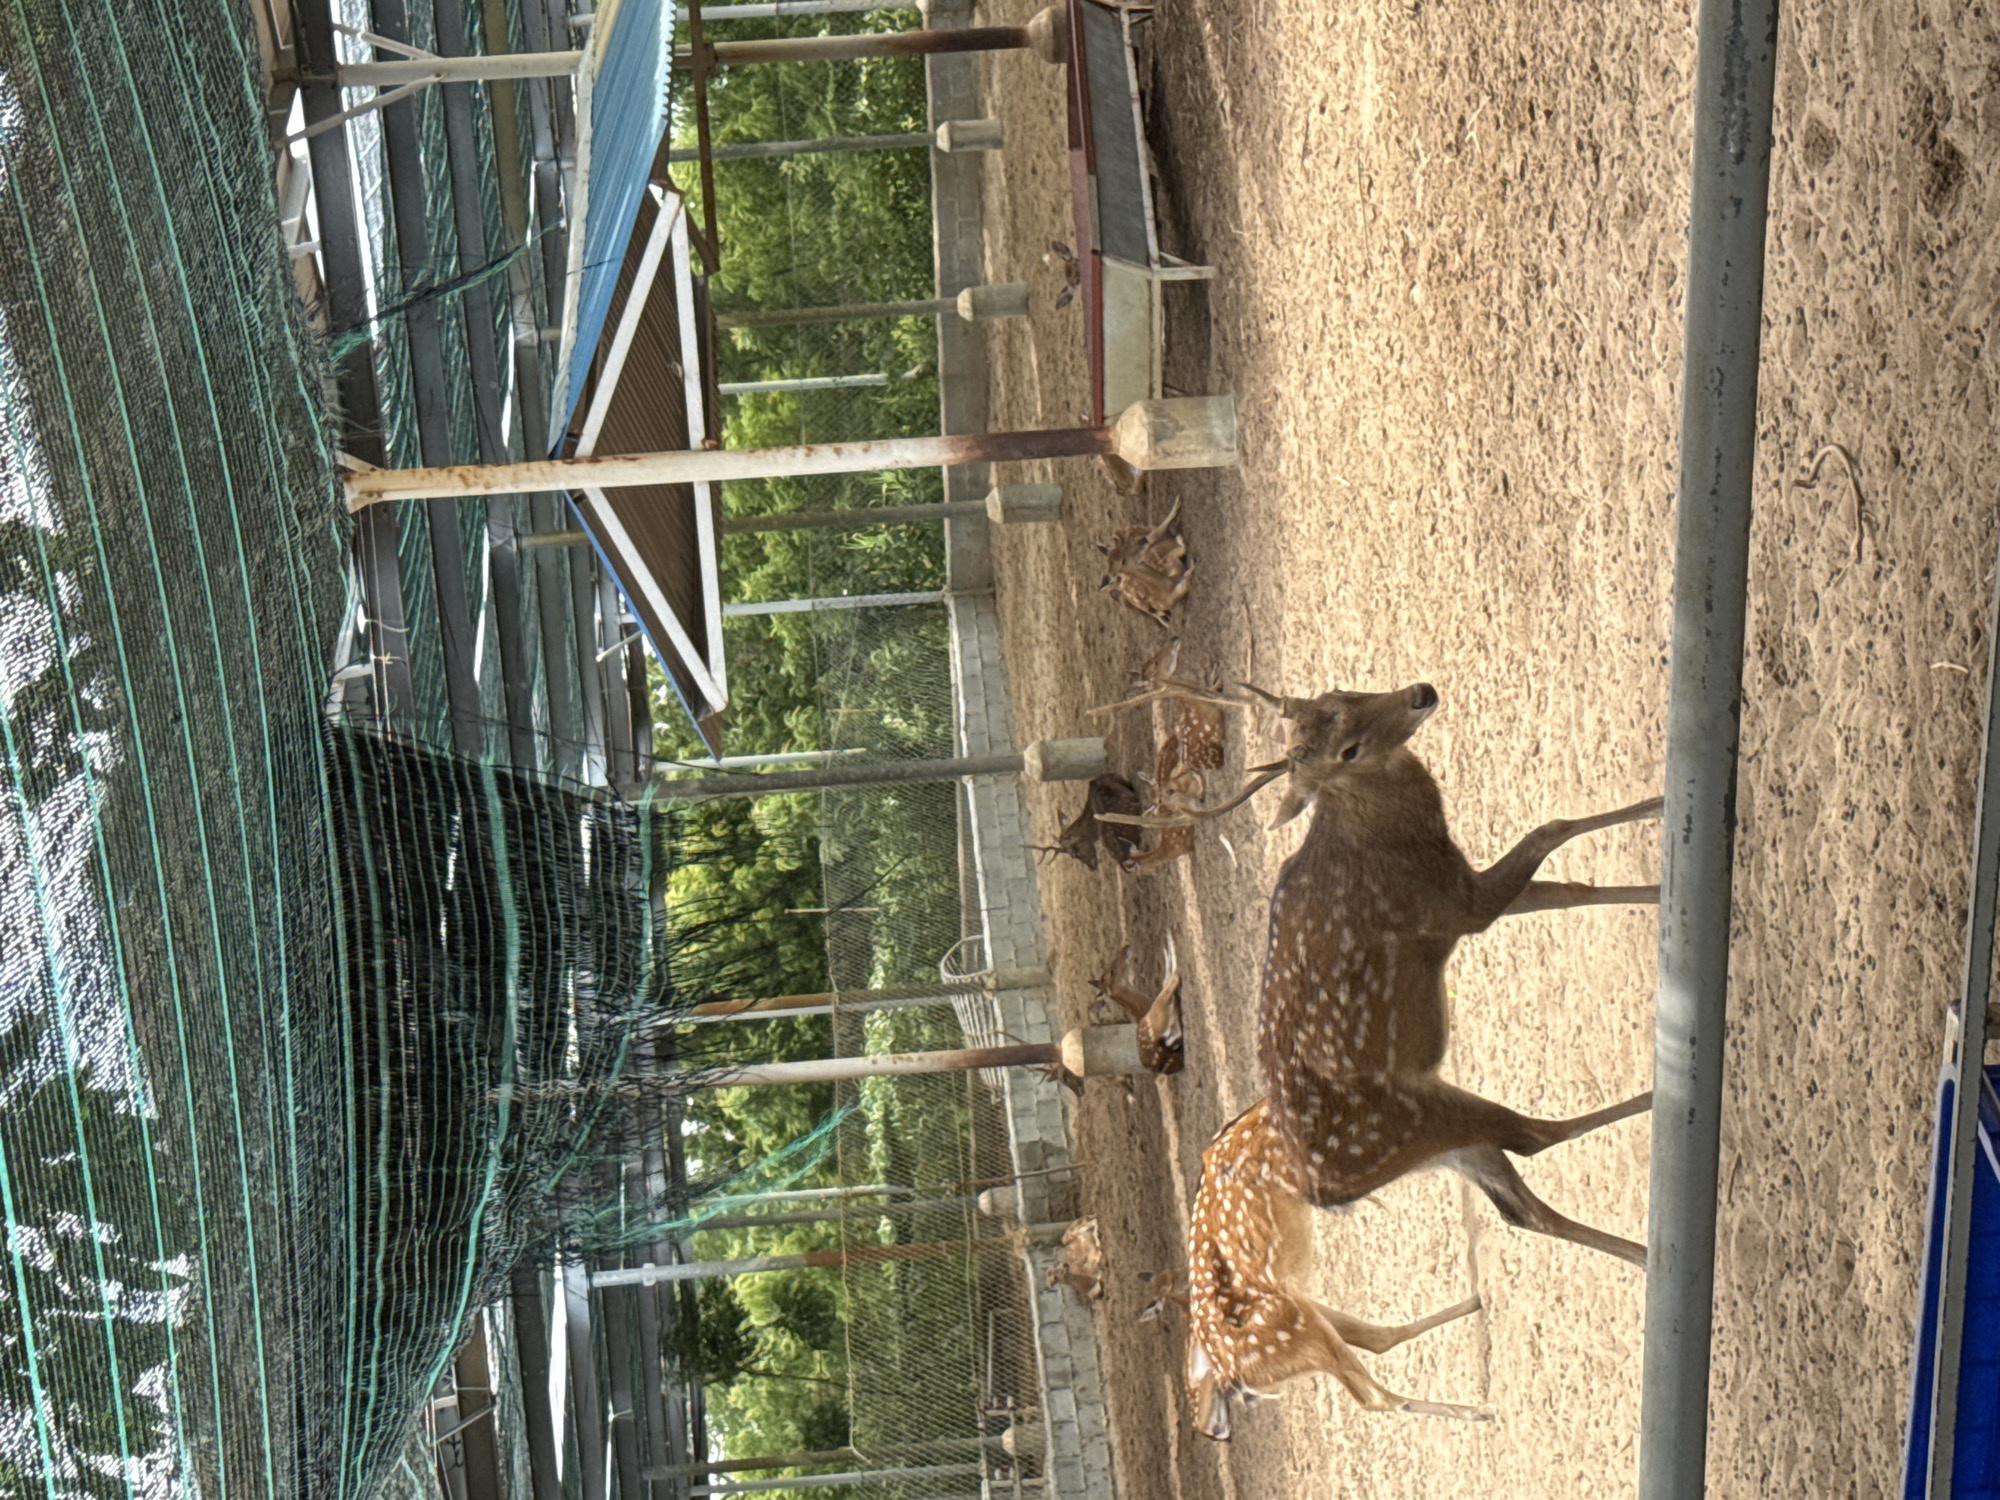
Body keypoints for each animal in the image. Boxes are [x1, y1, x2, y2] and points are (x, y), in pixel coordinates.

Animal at [1125, 680, 1661, 1265]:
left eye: (1338, 691)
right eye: (1348, 751)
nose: (1420, 692)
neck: (1400, 839)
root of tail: (1325, 1194)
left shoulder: (1461, 889)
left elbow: (1570, 890)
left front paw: (1657, 879)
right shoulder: (1460, 906)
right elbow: (1551, 829)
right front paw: (1660, 807)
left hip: (1437, 1146)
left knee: (1521, 1207)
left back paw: (1643, 1254)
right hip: (1419, 1118)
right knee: (1536, 1138)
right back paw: (1657, 1105)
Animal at [1145, 1098, 1489, 1438]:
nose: (1215, 1428)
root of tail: (1232, 1374)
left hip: (1301, 1316)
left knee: (1377, 1339)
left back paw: (1476, 1301)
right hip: (1298, 1329)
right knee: (1373, 1394)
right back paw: (1481, 1411)